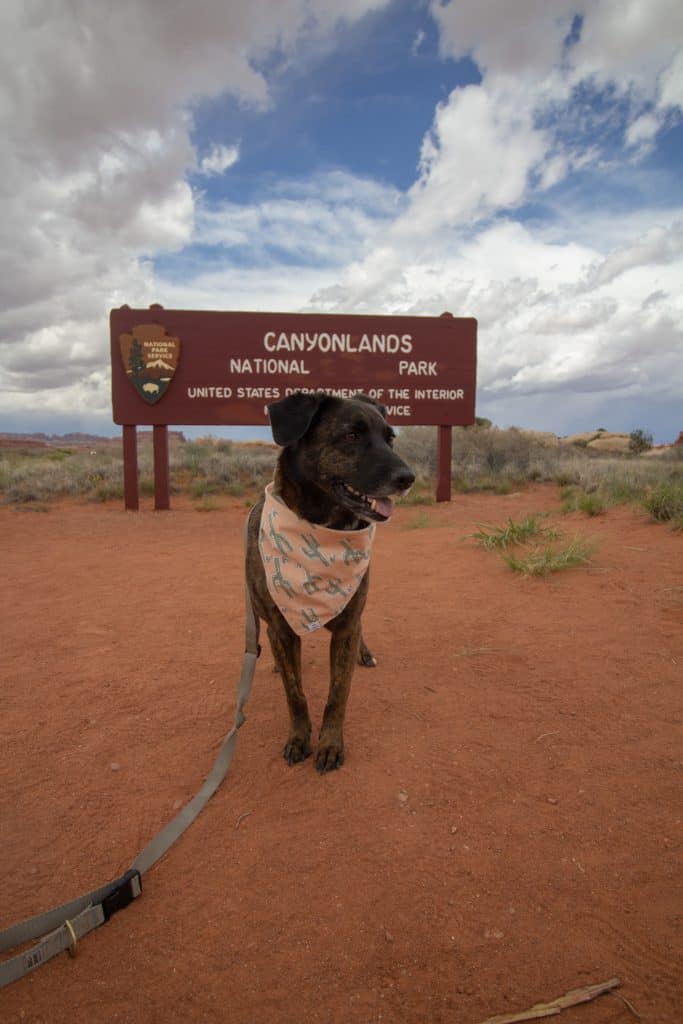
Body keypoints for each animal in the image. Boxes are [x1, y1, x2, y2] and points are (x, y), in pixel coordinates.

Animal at [245, 391, 417, 770]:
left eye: (390, 438)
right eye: (351, 435)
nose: (408, 477)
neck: (322, 529)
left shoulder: (347, 624)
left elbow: (338, 693)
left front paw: (330, 744)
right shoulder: (280, 627)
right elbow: (295, 693)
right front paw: (298, 738)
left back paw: (364, 653)